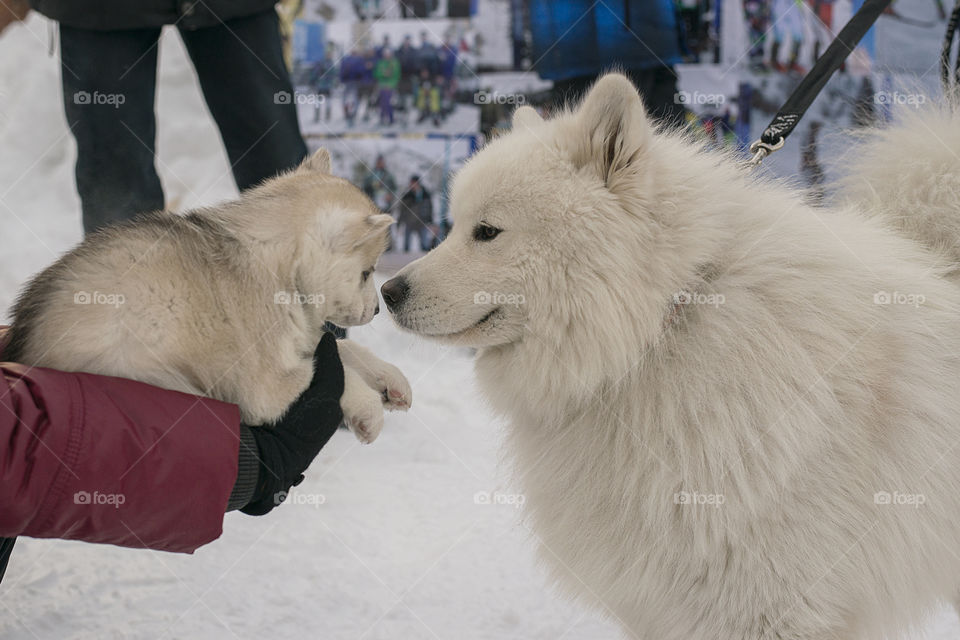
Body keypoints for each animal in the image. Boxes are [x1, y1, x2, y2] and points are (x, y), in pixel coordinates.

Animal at [8, 148, 412, 442]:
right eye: (366, 273)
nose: (377, 310)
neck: (281, 270)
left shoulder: (301, 341)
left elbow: (342, 348)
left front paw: (390, 379)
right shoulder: (266, 385)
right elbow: (335, 372)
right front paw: (367, 409)